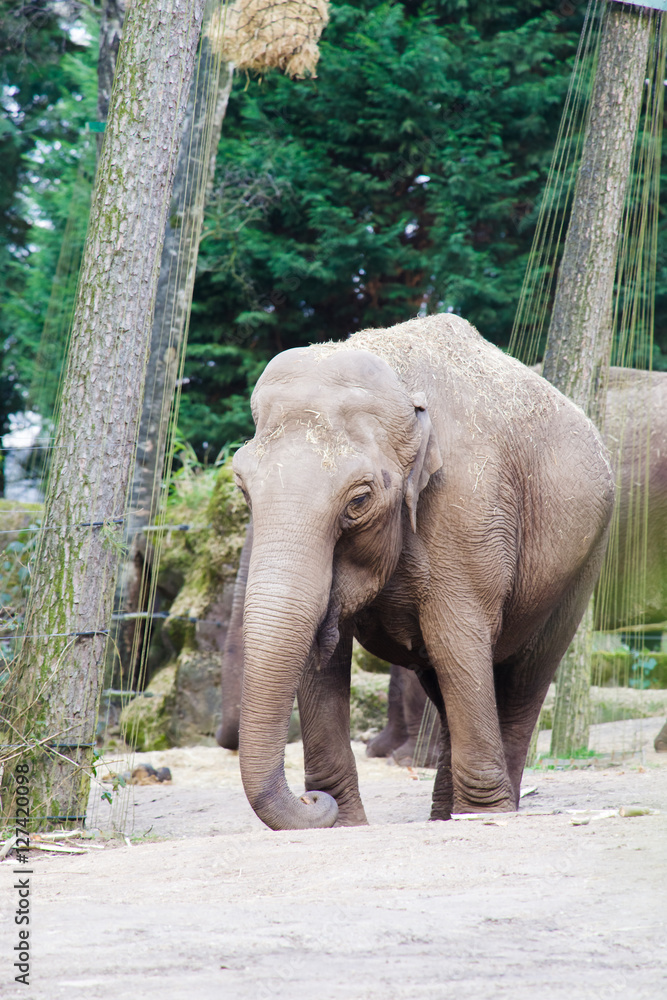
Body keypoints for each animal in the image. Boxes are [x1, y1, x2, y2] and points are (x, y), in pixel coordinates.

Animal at [231, 313, 615, 831]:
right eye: (242, 488)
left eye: (359, 500)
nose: (312, 801)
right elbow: (322, 654)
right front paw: (345, 823)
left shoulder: (467, 507)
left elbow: (457, 637)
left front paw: (483, 817)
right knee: (448, 681)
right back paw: (442, 815)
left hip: (584, 562)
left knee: (520, 679)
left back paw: (492, 810)